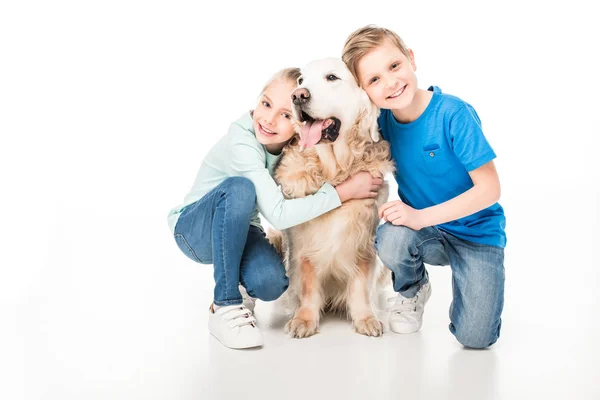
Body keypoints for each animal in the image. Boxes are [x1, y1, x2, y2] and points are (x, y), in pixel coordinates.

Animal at [268, 58, 394, 338]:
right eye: (301, 81)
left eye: (332, 77)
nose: (297, 96)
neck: (334, 172)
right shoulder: (303, 242)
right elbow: (307, 284)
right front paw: (304, 319)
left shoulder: (364, 236)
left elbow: (360, 284)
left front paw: (365, 318)